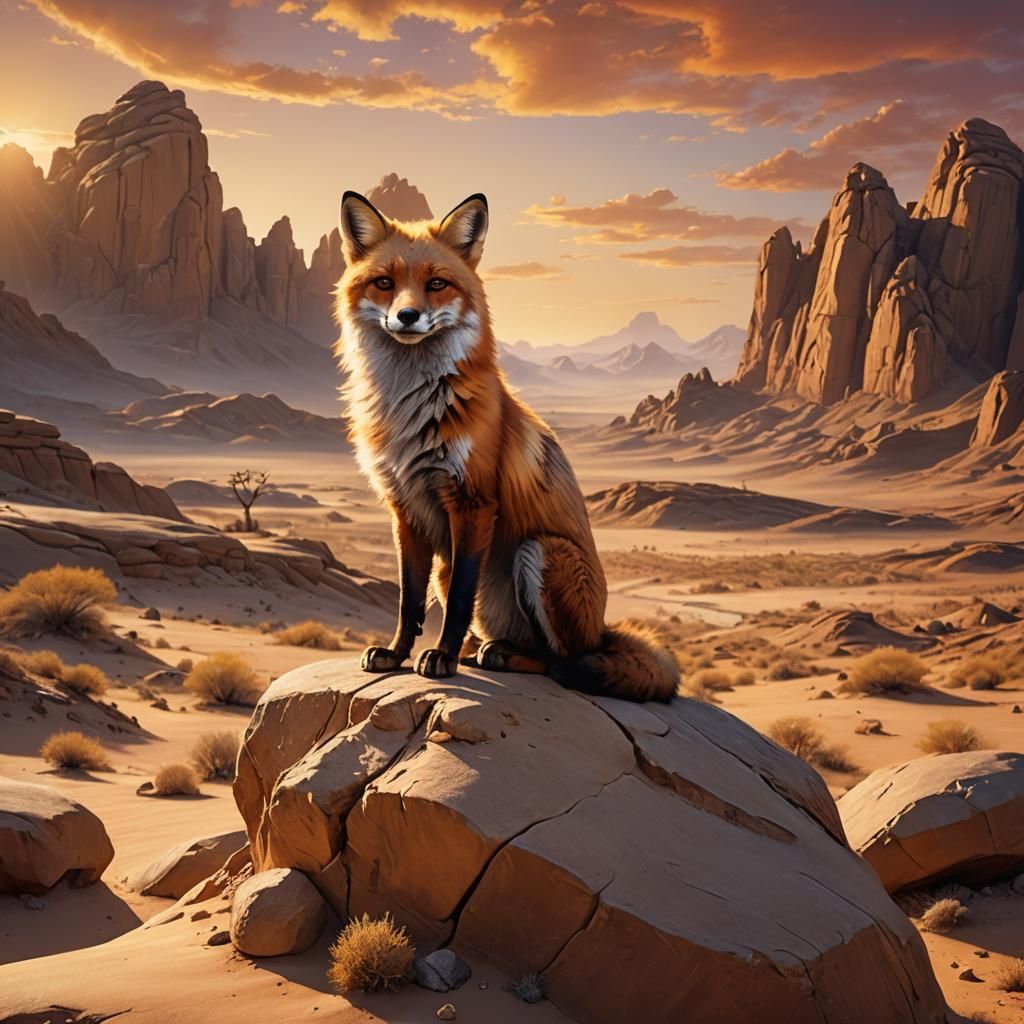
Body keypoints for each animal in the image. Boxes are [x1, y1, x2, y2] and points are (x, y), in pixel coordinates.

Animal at [333, 190, 679, 702]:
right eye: (384, 283)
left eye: (437, 284)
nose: (407, 316)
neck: (410, 408)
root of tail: (600, 630)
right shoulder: (404, 508)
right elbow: (407, 599)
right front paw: (395, 655)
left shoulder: (473, 501)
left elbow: (459, 600)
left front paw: (440, 658)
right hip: (453, 565)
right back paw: (484, 647)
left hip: (541, 552)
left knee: (560, 660)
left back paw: (498, 656)